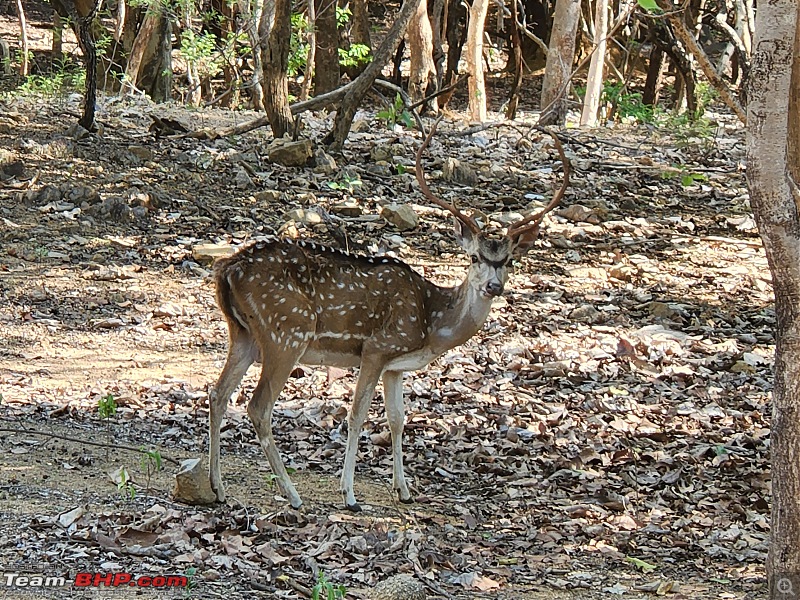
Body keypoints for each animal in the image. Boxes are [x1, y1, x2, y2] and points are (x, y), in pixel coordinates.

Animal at [208, 123, 568, 510]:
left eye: (509, 261)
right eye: (474, 258)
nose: (493, 286)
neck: (430, 323)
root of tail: (227, 269)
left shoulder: (395, 366)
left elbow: (397, 418)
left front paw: (404, 490)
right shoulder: (377, 347)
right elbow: (356, 414)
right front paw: (349, 494)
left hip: (244, 334)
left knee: (218, 394)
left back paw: (217, 487)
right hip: (287, 332)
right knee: (258, 406)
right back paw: (291, 494)